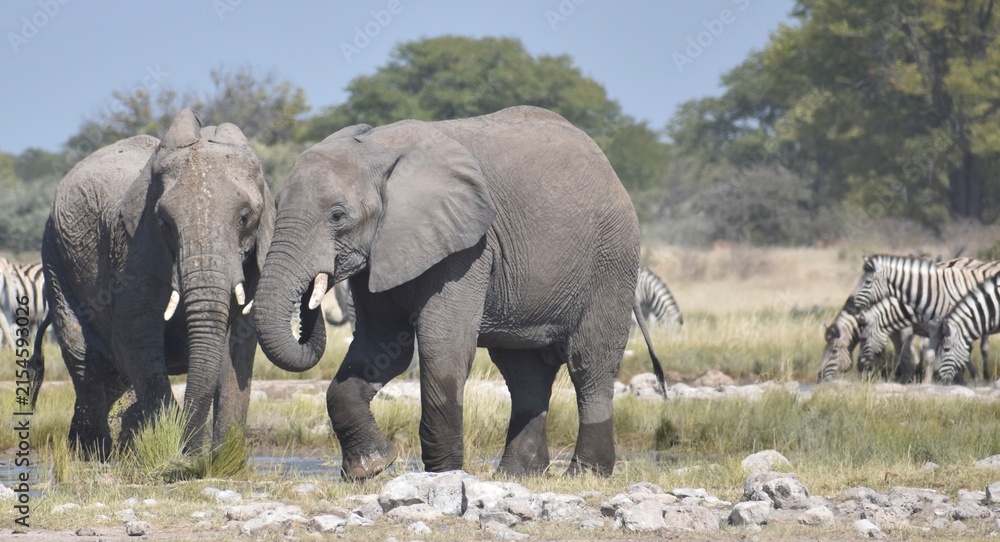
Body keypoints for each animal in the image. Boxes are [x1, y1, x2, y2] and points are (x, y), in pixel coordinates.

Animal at [33, 108, 274, 459]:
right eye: (165, 223)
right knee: (85, 358)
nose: (194, 453)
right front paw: (177, 455)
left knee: (111, 377)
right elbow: (136, 336)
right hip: (54, 254)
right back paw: (93, 456)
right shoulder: (134, 248)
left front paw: (220, 459)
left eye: (245, 218)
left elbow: (239, 343)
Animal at [254, 105, 664, 479]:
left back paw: (586, 475)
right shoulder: (383, 250)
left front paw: (443, 476)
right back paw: (518, 476)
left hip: (611, 258)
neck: (377, 149)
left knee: (589, 363)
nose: (312, 299)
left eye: (337, 216)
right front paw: (371, 467)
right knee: (524, 374)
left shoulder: (467, 249)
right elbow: (381, 347)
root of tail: (608, 165)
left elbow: (443, 348)